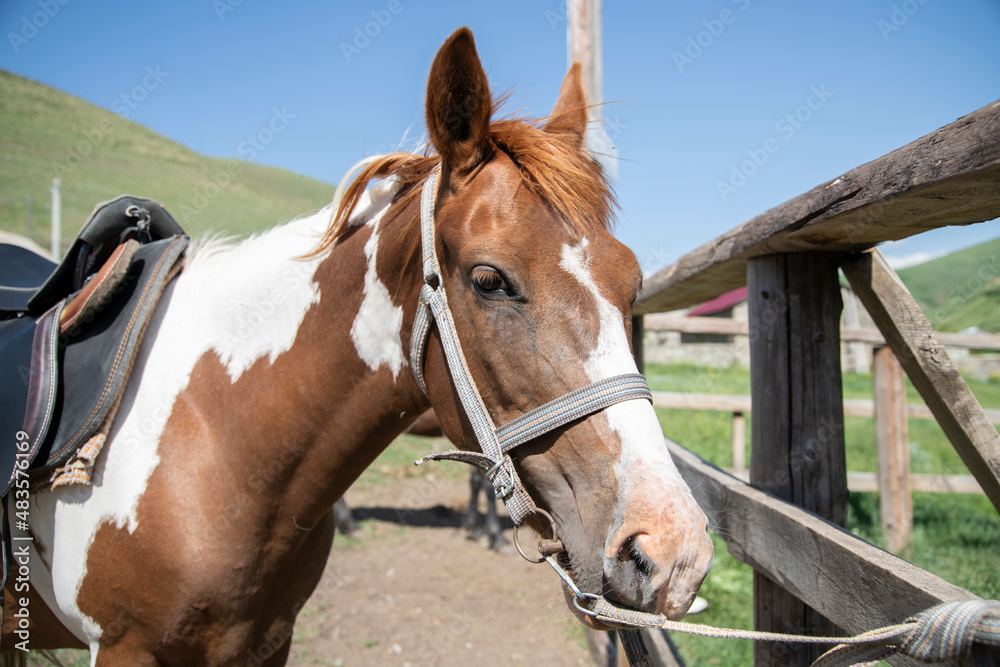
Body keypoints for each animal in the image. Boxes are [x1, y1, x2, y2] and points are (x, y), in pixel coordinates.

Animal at [4, 27, 713, 665]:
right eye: (489, 279)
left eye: (632, 281)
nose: (672, 553)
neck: (214, 435)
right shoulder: (127, 648)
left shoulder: (265, 644)